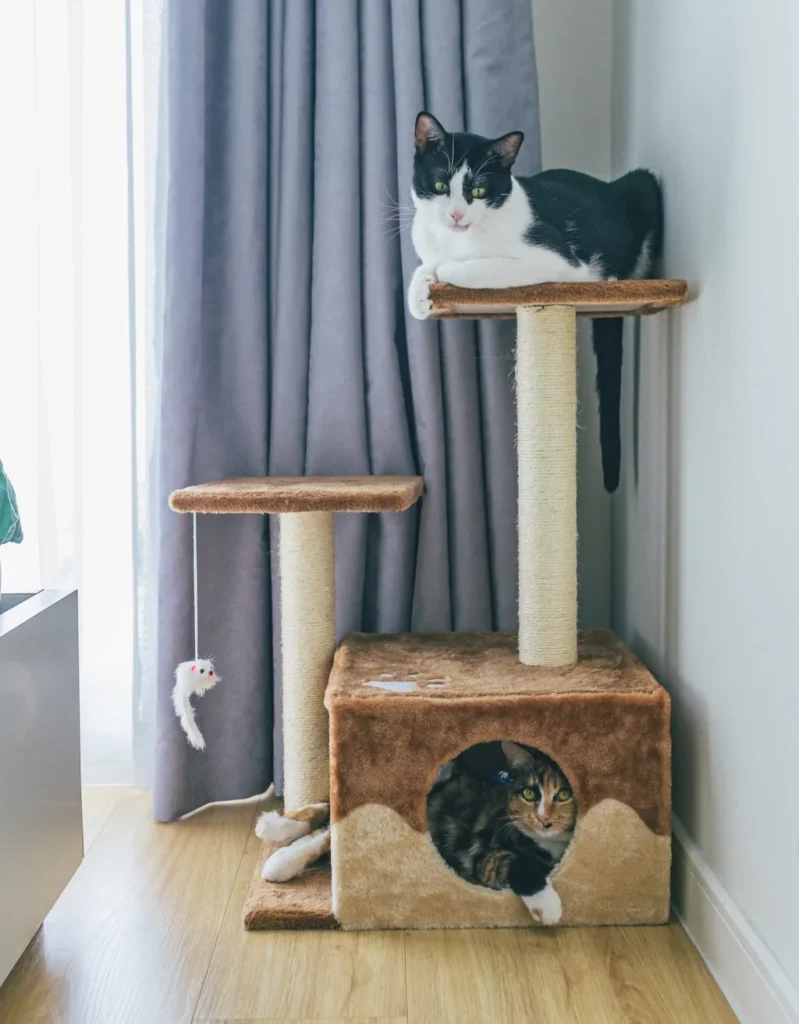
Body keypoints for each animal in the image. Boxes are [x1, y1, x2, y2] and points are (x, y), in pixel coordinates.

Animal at [428, 741, 577, 925]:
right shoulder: (488, 858)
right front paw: (548, 906)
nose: (543, 817)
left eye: (564, 794)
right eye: (529, 793)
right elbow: (516, 864)